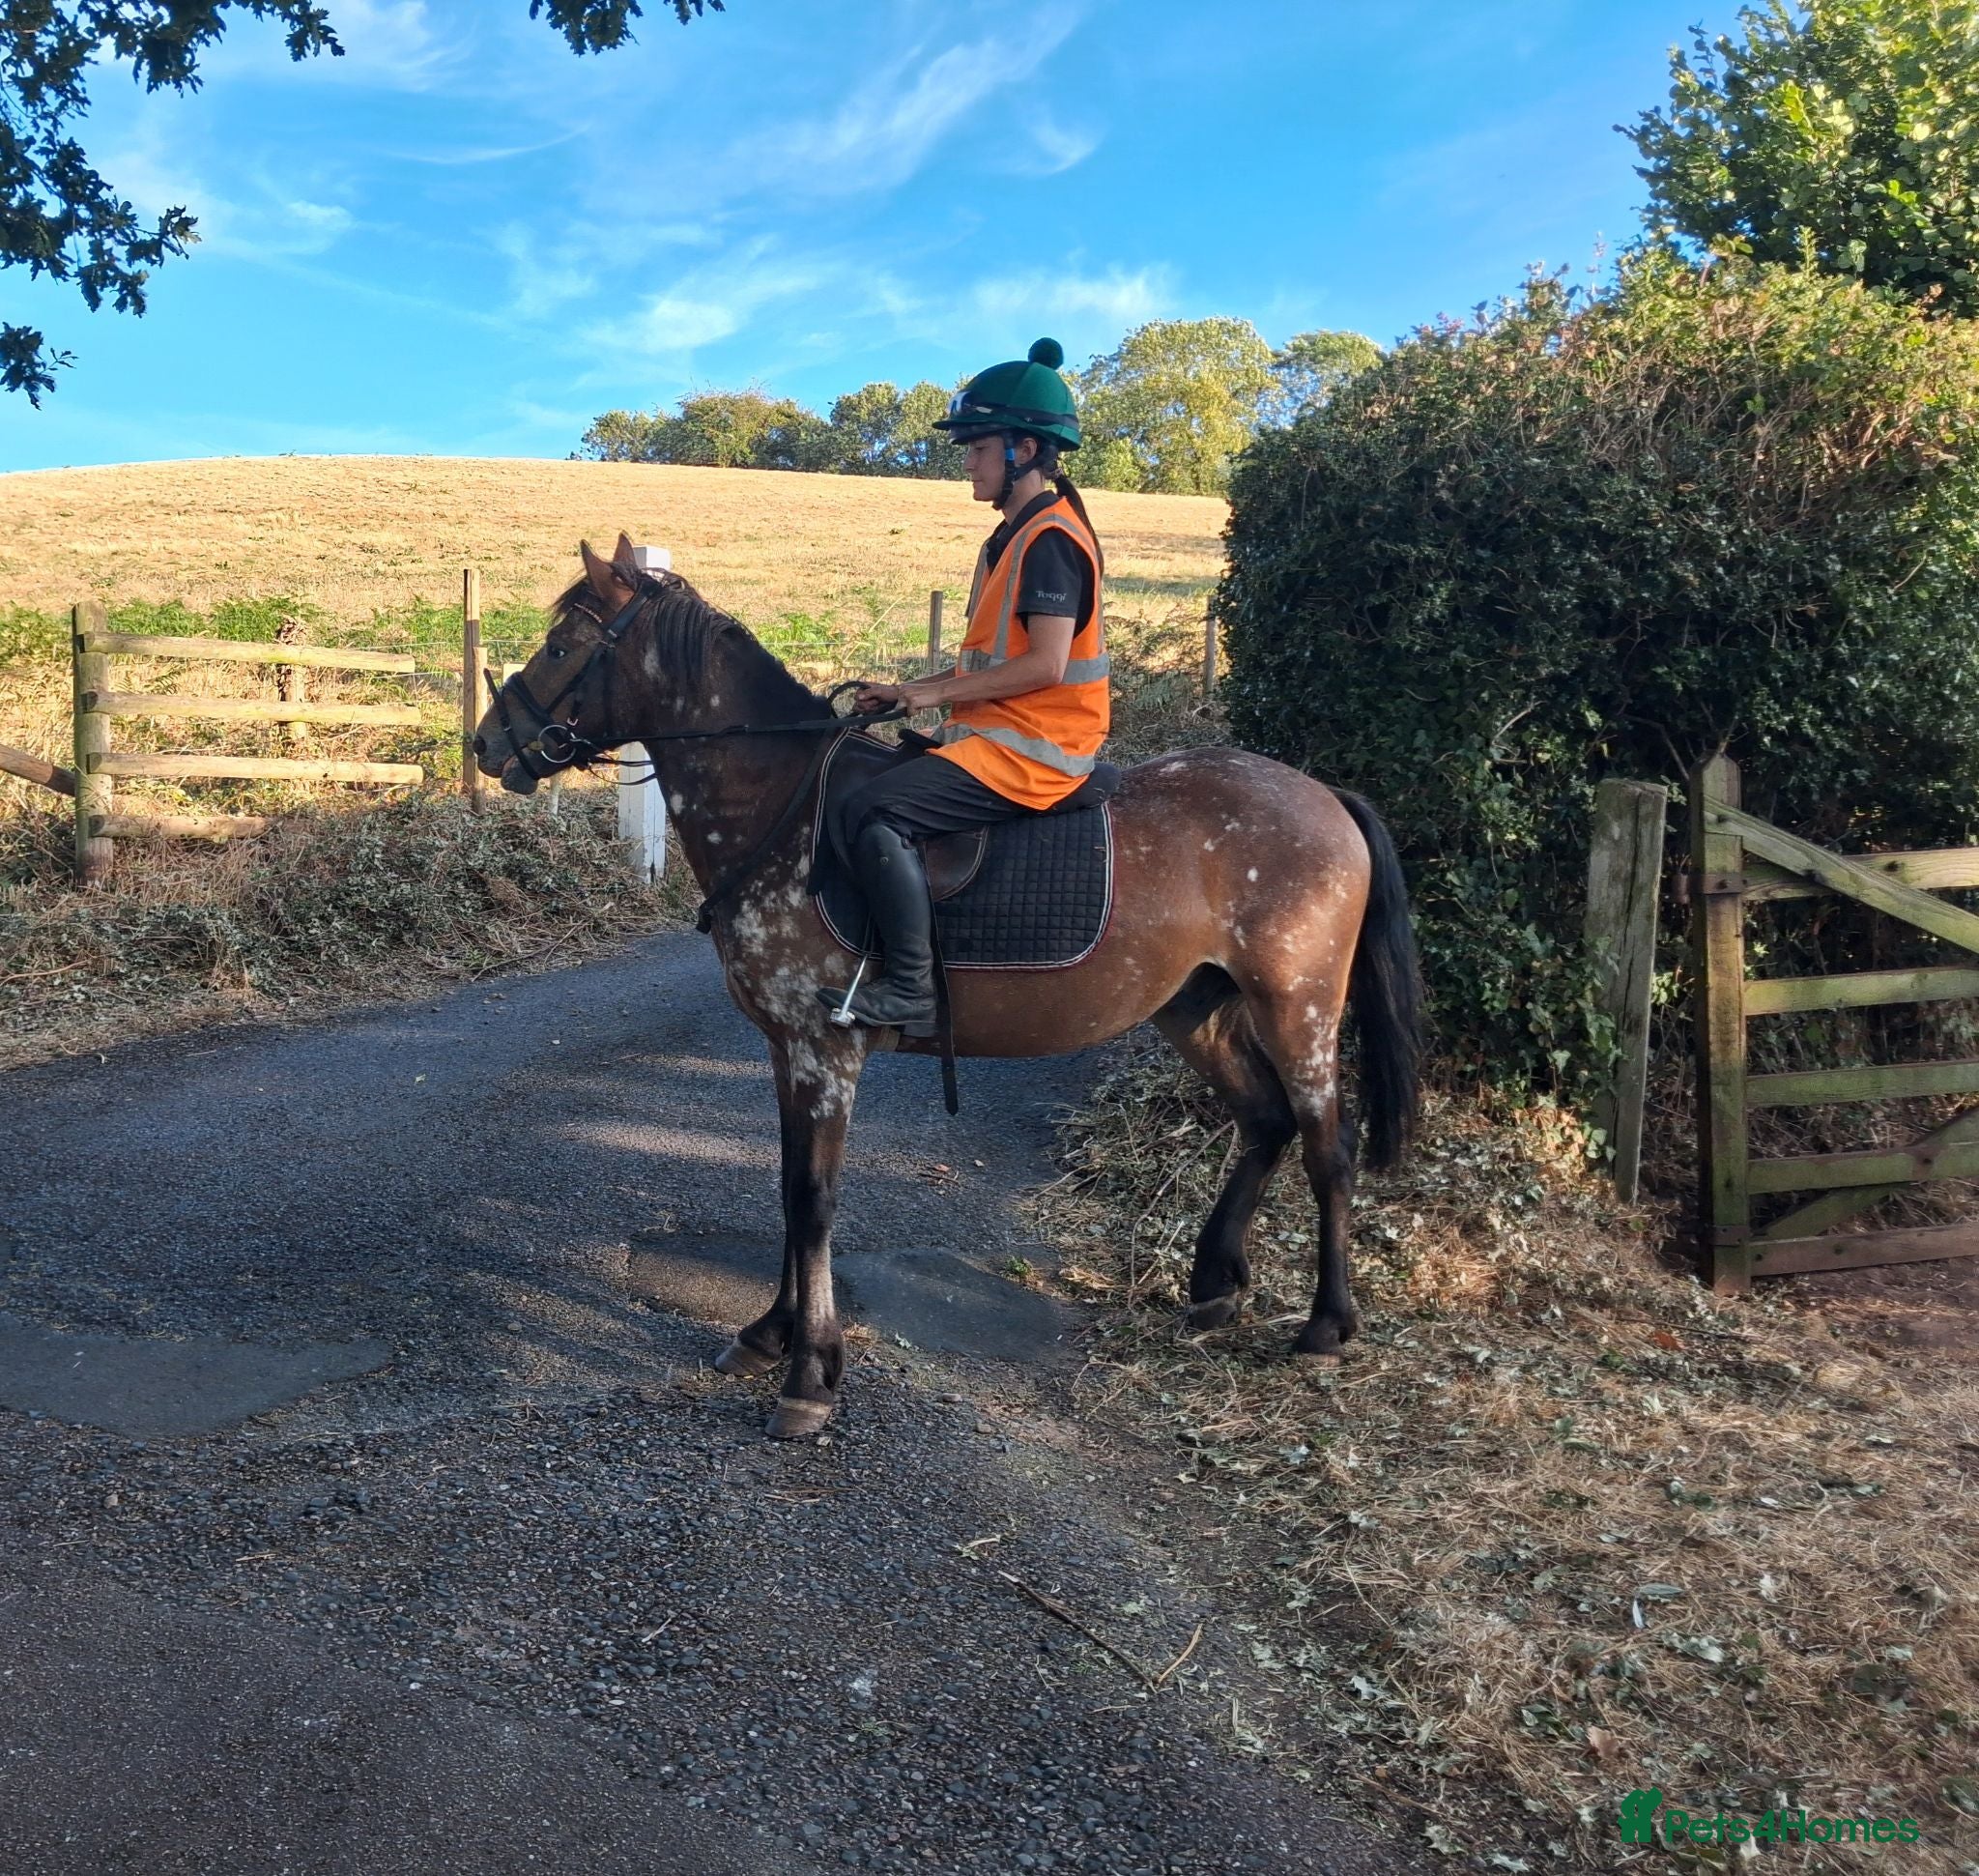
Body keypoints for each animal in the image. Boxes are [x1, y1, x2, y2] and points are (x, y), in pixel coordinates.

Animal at [473, 536, 1423, 1439]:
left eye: (560, 646)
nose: (485, 743)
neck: (783, 807)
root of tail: (1325, 796)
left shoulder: (827, 1052)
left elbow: (814, 1202)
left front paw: (810, 1375)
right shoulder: (788, 1051)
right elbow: (787, 1188)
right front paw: (771, 1333)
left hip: (1298, 1007)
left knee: (1326, 1147)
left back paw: (1326, 1325)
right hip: (1193, 1009)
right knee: (1262, 1123)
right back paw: (1215, 1286)